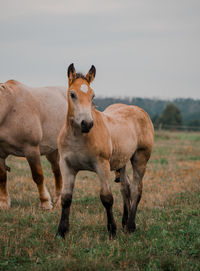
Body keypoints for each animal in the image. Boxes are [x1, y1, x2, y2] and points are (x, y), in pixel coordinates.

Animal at [0, 79, 67, 211]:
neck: (9, 110)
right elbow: (2, 177)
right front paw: (4, 203)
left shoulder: (31, 149)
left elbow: (38, 176)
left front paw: (45, 203)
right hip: (52, 151)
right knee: (57, 171)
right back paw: (58, 200)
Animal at [56, 64, 155, 240]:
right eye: (72, 94)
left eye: (93, 95)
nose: (87, 124)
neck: (79, 137)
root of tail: (141, 111)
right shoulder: (66, 165)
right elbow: (66, 198)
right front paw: (61, 232)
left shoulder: (101, 165)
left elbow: (107, 198)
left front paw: (112, 231)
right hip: (122, 161)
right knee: (125, 187)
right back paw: (125, 221)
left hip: (140, 158)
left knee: (136, 189)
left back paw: (130, 226)